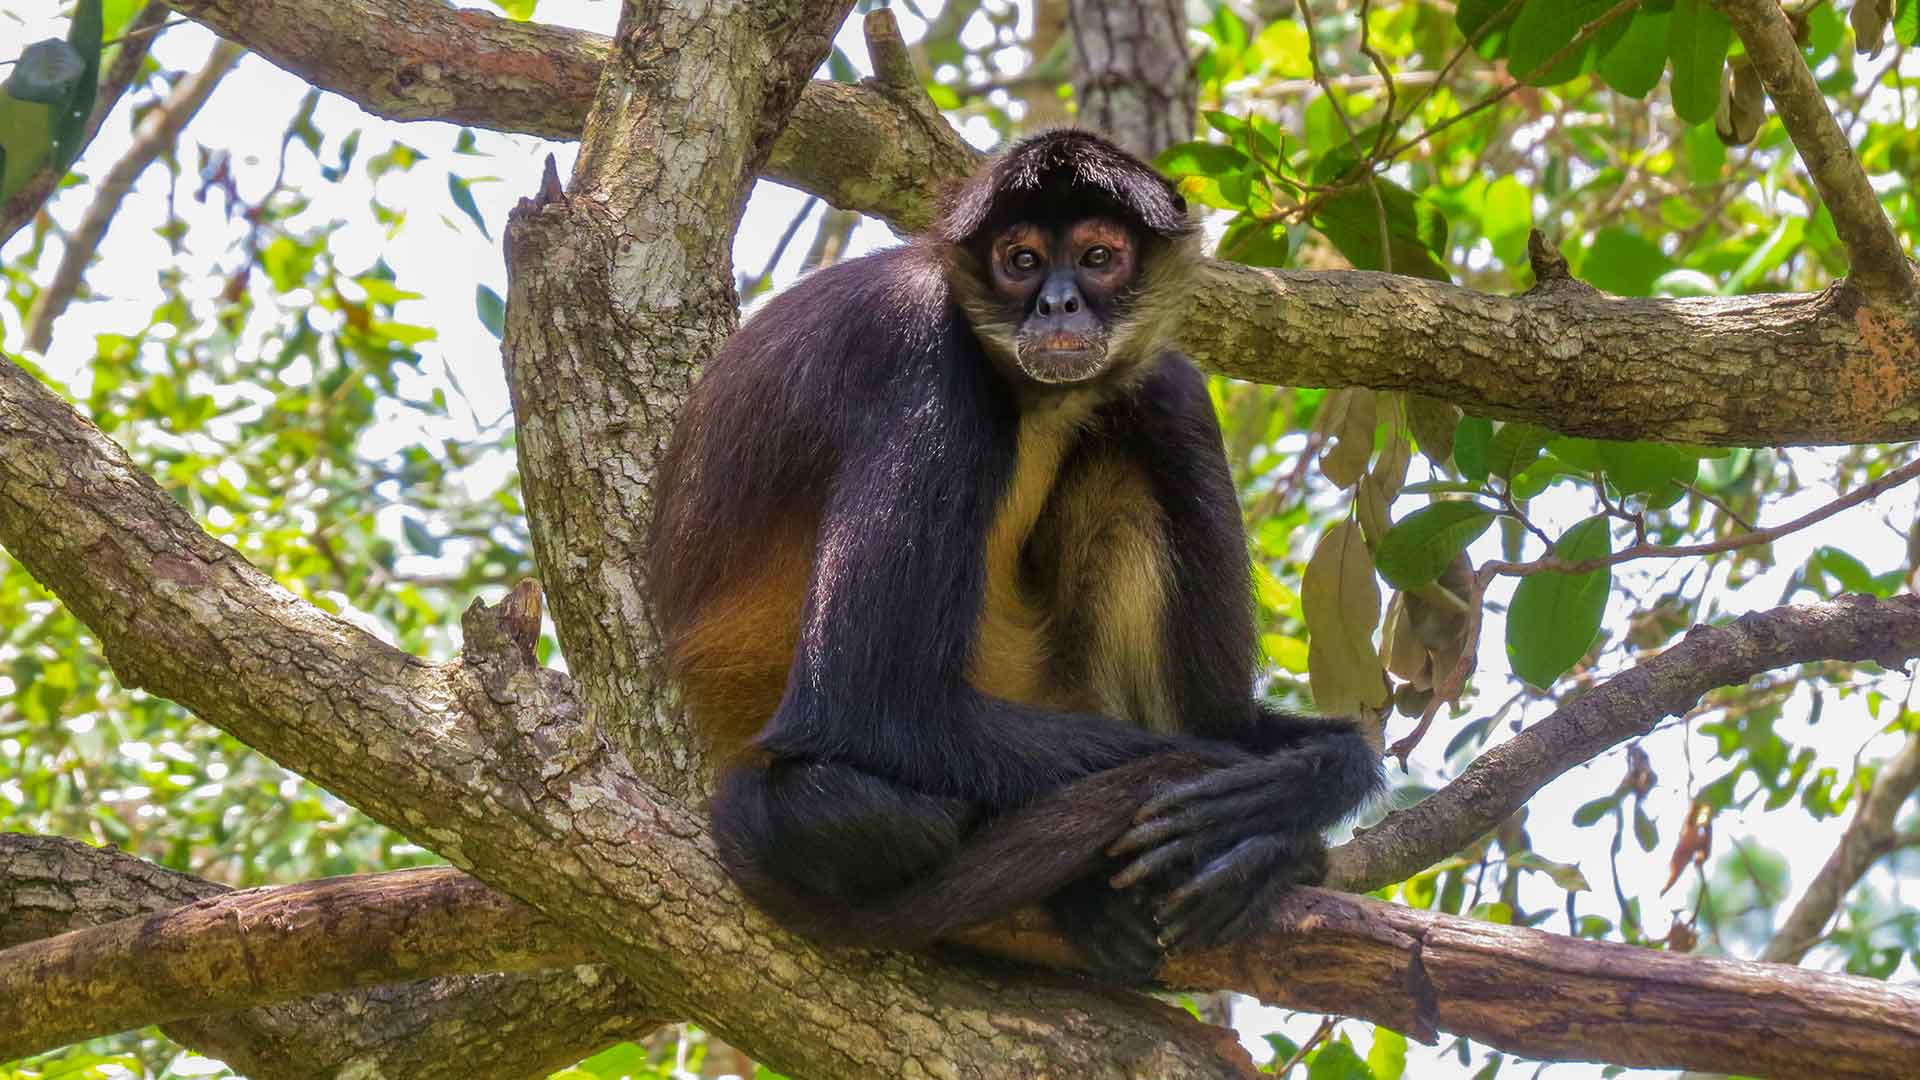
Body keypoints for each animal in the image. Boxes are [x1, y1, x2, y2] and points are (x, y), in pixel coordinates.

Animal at [648, 125, 1382, 976]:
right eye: (1021, 259)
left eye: (1097, 257)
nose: (1057, 302)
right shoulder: (923, 353)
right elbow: (865, 703)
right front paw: (1256, 782)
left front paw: (1309, 775)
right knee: (853, 810)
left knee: (1166, 394)